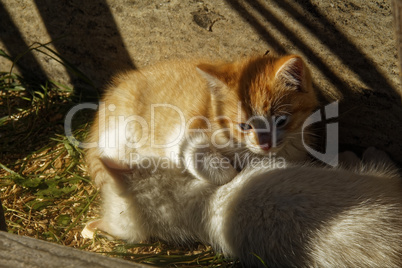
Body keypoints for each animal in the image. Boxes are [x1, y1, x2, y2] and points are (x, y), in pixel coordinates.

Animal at [86, 54, 318, 186]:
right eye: (244, 126)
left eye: (281, 120)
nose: (265, 144)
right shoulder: (183, 135)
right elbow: (199, 156)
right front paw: (232, 173)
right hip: (121, 131)